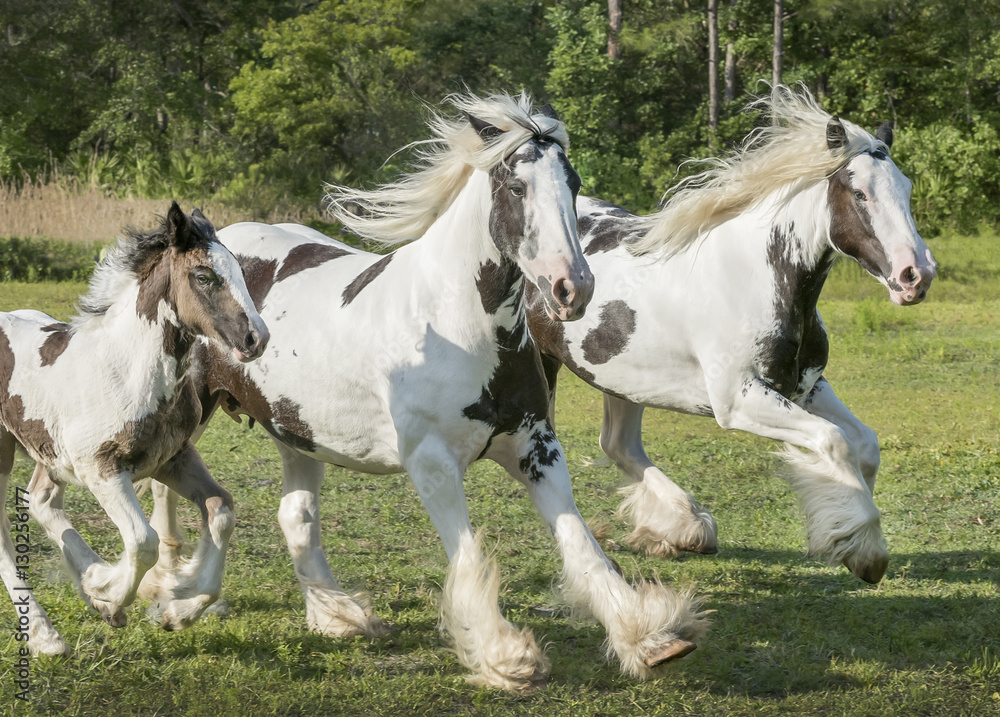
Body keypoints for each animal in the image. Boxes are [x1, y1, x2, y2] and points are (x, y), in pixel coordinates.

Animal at [0, 202, 269, 656]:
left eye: (240, 272)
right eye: (203, 277)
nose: (257, 338)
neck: (126, 370)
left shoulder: (173, 458)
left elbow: (221, 510)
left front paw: (177, 608)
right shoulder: (102, 469)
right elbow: (144, 542)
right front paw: (108, 595)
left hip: (49, 452)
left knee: (40, 500)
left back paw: (86, 588)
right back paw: (46, 636)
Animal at [144, 92, 709, 691]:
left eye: (574, 183)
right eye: (517, 187)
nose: (572, 288)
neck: (456, 325)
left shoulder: (536, 447)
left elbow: (582, 548)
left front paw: (649, 637)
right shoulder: (431, 462)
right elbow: (468, 556)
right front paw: (505, 655)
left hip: (295, 430)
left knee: (295, 516)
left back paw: (338, 616)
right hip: (189, 409)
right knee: (164, 484)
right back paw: (170, 588)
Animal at [529, 86, 937, 585]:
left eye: (907, 188)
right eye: (860, 193)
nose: (916, 275)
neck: (756, 277)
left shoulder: (806, 386)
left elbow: (865, 444)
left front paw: (856, 538)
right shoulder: (738, 399)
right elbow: (833, 442)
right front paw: (864, 553)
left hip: (621, 377)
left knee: (619, 444)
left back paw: (686, 529)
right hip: (543, 365)